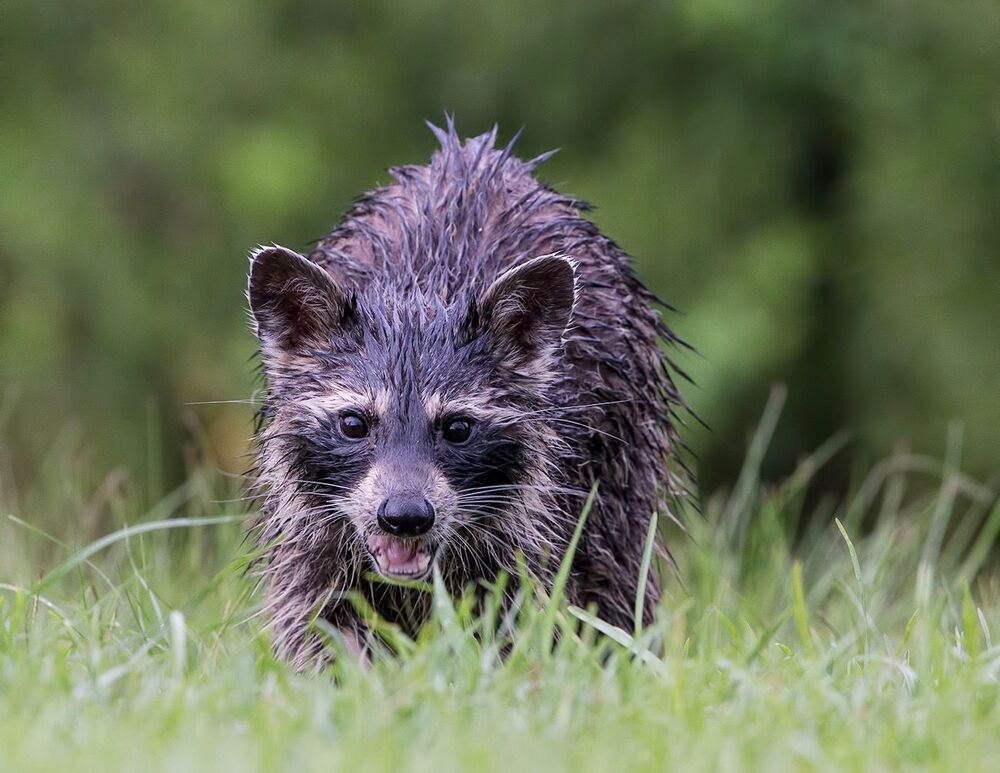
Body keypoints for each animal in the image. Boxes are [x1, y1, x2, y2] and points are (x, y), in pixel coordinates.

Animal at [247, 122, 687, 666]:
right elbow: (319, 617)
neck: (421, 297)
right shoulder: (312, 538)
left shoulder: (533, 527)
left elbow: (519, 616)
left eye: (457, 428)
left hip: (623, 463)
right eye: (354, 423)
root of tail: (474, 154)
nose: (405, 517)